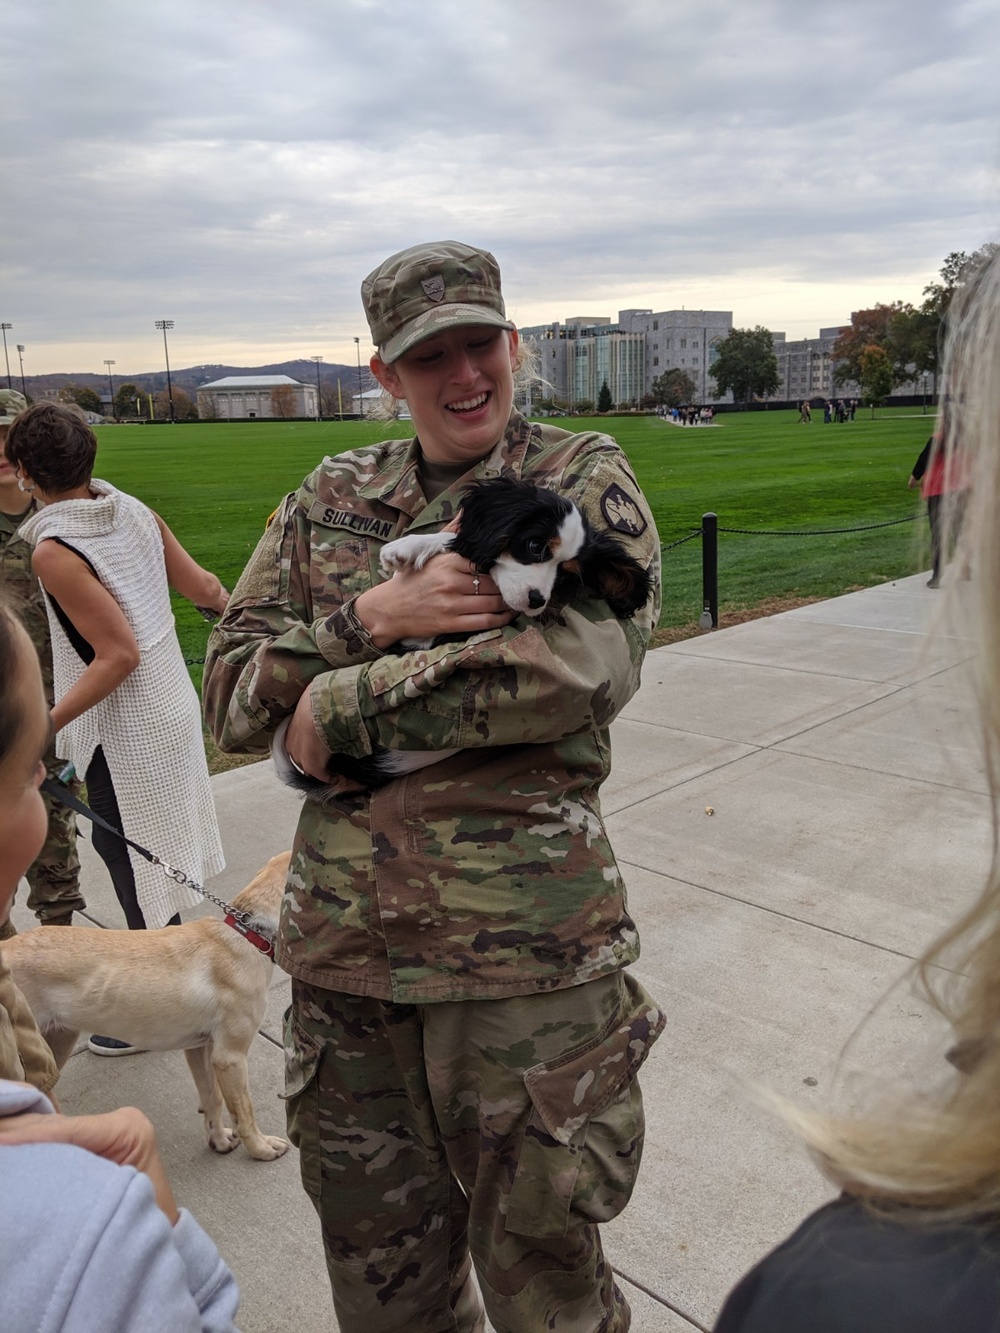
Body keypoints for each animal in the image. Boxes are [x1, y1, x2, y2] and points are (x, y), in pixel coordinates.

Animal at [3, 853, 292, 1157]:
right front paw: (261, 1147)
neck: (248, 934)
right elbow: (245, 1111)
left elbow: (212, 1098)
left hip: (56, 1041)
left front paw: (219, 1141)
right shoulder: (230, 1057)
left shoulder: (201, 1048)